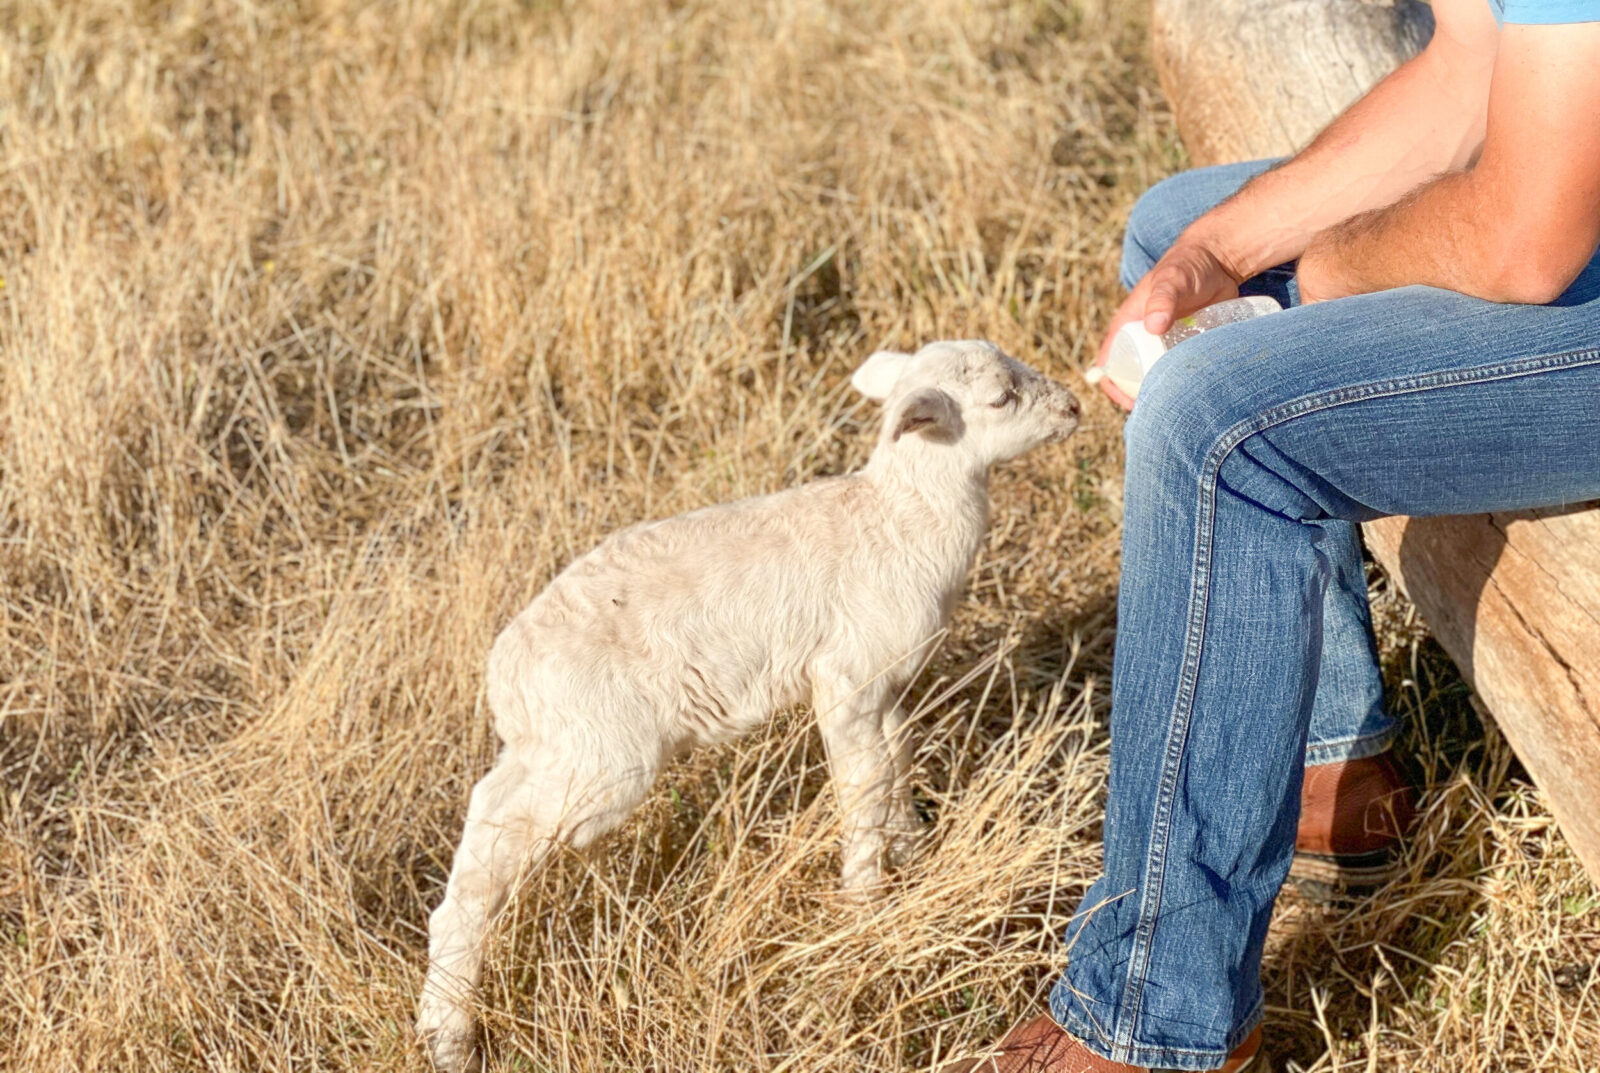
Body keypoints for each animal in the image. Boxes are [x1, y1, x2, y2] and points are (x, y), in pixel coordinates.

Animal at [417, 340, 1080, 1070]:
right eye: (1001, 396)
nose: (1075, 407)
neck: (900, 515)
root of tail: (507, 679)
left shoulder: (884, 685)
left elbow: (895, 763)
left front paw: (910, 850)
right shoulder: (846, 677)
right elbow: (862, 785)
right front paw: (864, 903)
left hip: (559, 745)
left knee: (485, 812)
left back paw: (444, 1016)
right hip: (603, 757)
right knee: (495, 855)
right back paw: (451, 1034)